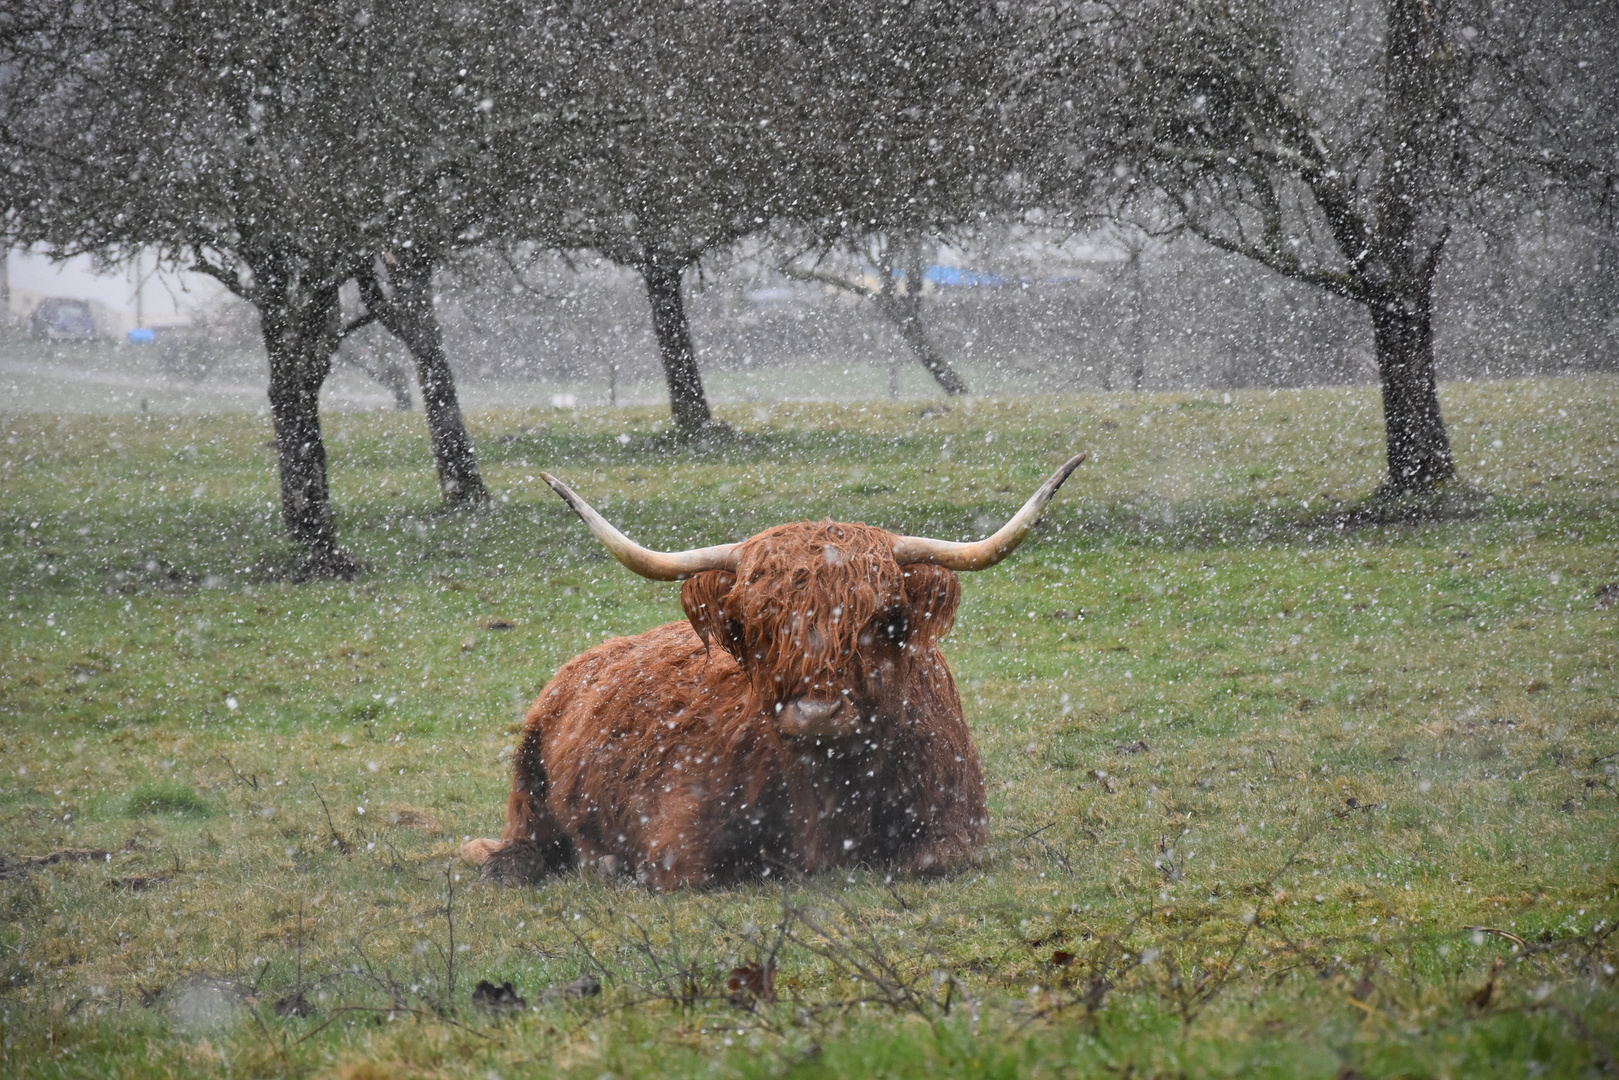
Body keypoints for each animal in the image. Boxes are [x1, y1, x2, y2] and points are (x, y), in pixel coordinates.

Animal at [463, 453, 1081, 887]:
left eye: (884, 617)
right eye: (756, 624)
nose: (815, 714)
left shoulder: (960, 826)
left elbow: (932, 860)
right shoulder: (676, 836)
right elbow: (691, 869)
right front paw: (613, 863)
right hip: (527, 774)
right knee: (516, 843)